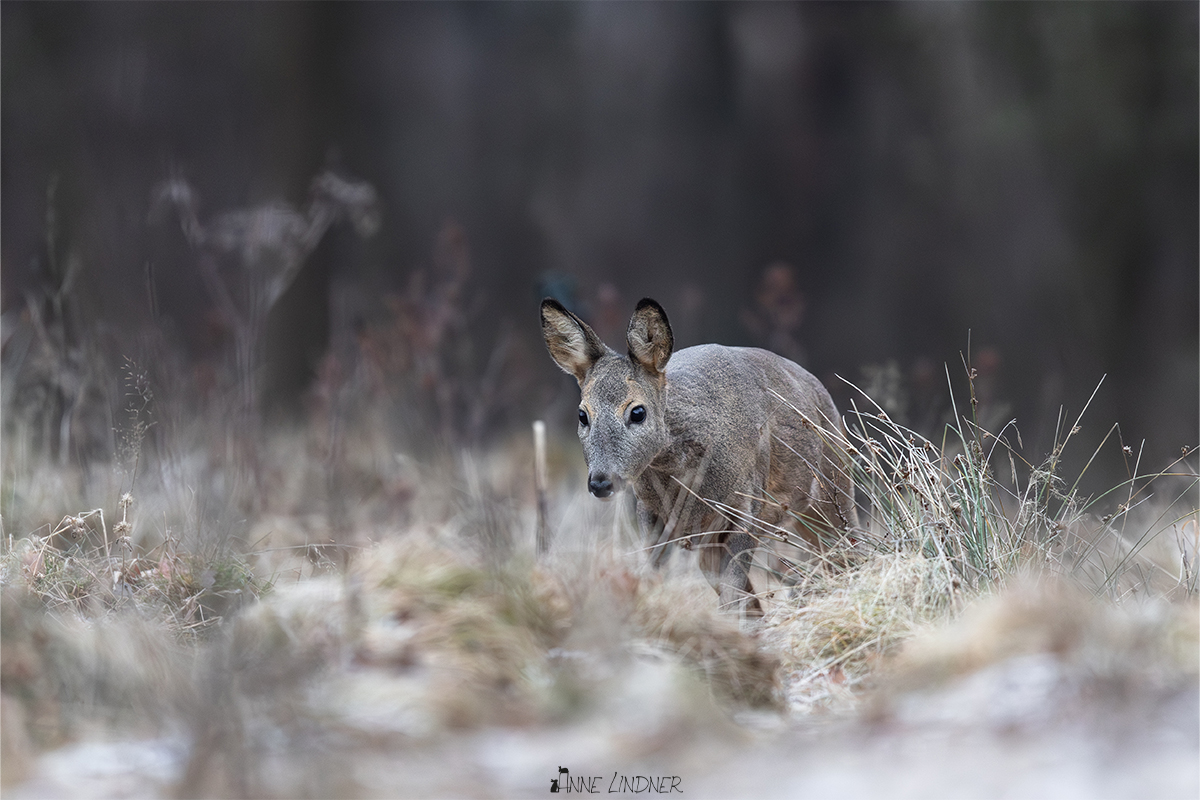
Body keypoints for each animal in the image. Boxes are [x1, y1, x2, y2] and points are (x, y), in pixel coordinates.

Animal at [541, 297, 857, 615]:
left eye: (638, 412)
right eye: (583, 415)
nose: (601, 483)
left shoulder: (748, 506)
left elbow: (732, 594)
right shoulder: (652, 514)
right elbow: (652, 577)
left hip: (835, 486)